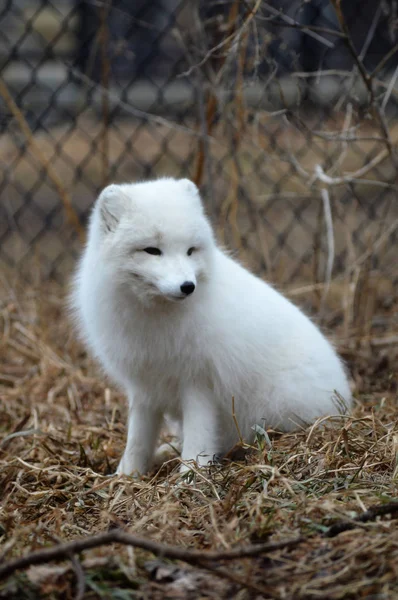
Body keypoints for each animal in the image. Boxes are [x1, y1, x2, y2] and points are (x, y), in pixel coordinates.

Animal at [71, 176, 352, 476]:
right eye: (152, 250)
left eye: (190, 251)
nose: (187, 286)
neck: (155, 318)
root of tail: (346, 402)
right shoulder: (144, 386)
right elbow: (137, 439)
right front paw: (126, 476)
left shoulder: (199, 381)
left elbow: (199, 434)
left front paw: (191, 475)